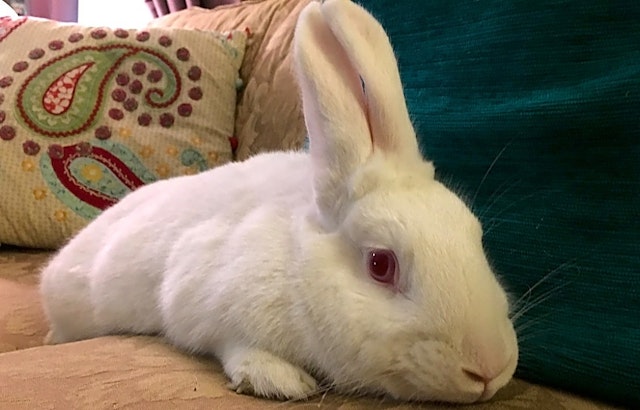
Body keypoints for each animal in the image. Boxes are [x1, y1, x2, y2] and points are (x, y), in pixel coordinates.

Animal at [40, 0, 518, 404]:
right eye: (381, 264)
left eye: (476, 237)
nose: (488, 368)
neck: (298, 264)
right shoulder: (201, 295)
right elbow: (229, 342)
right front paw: (278, 378)